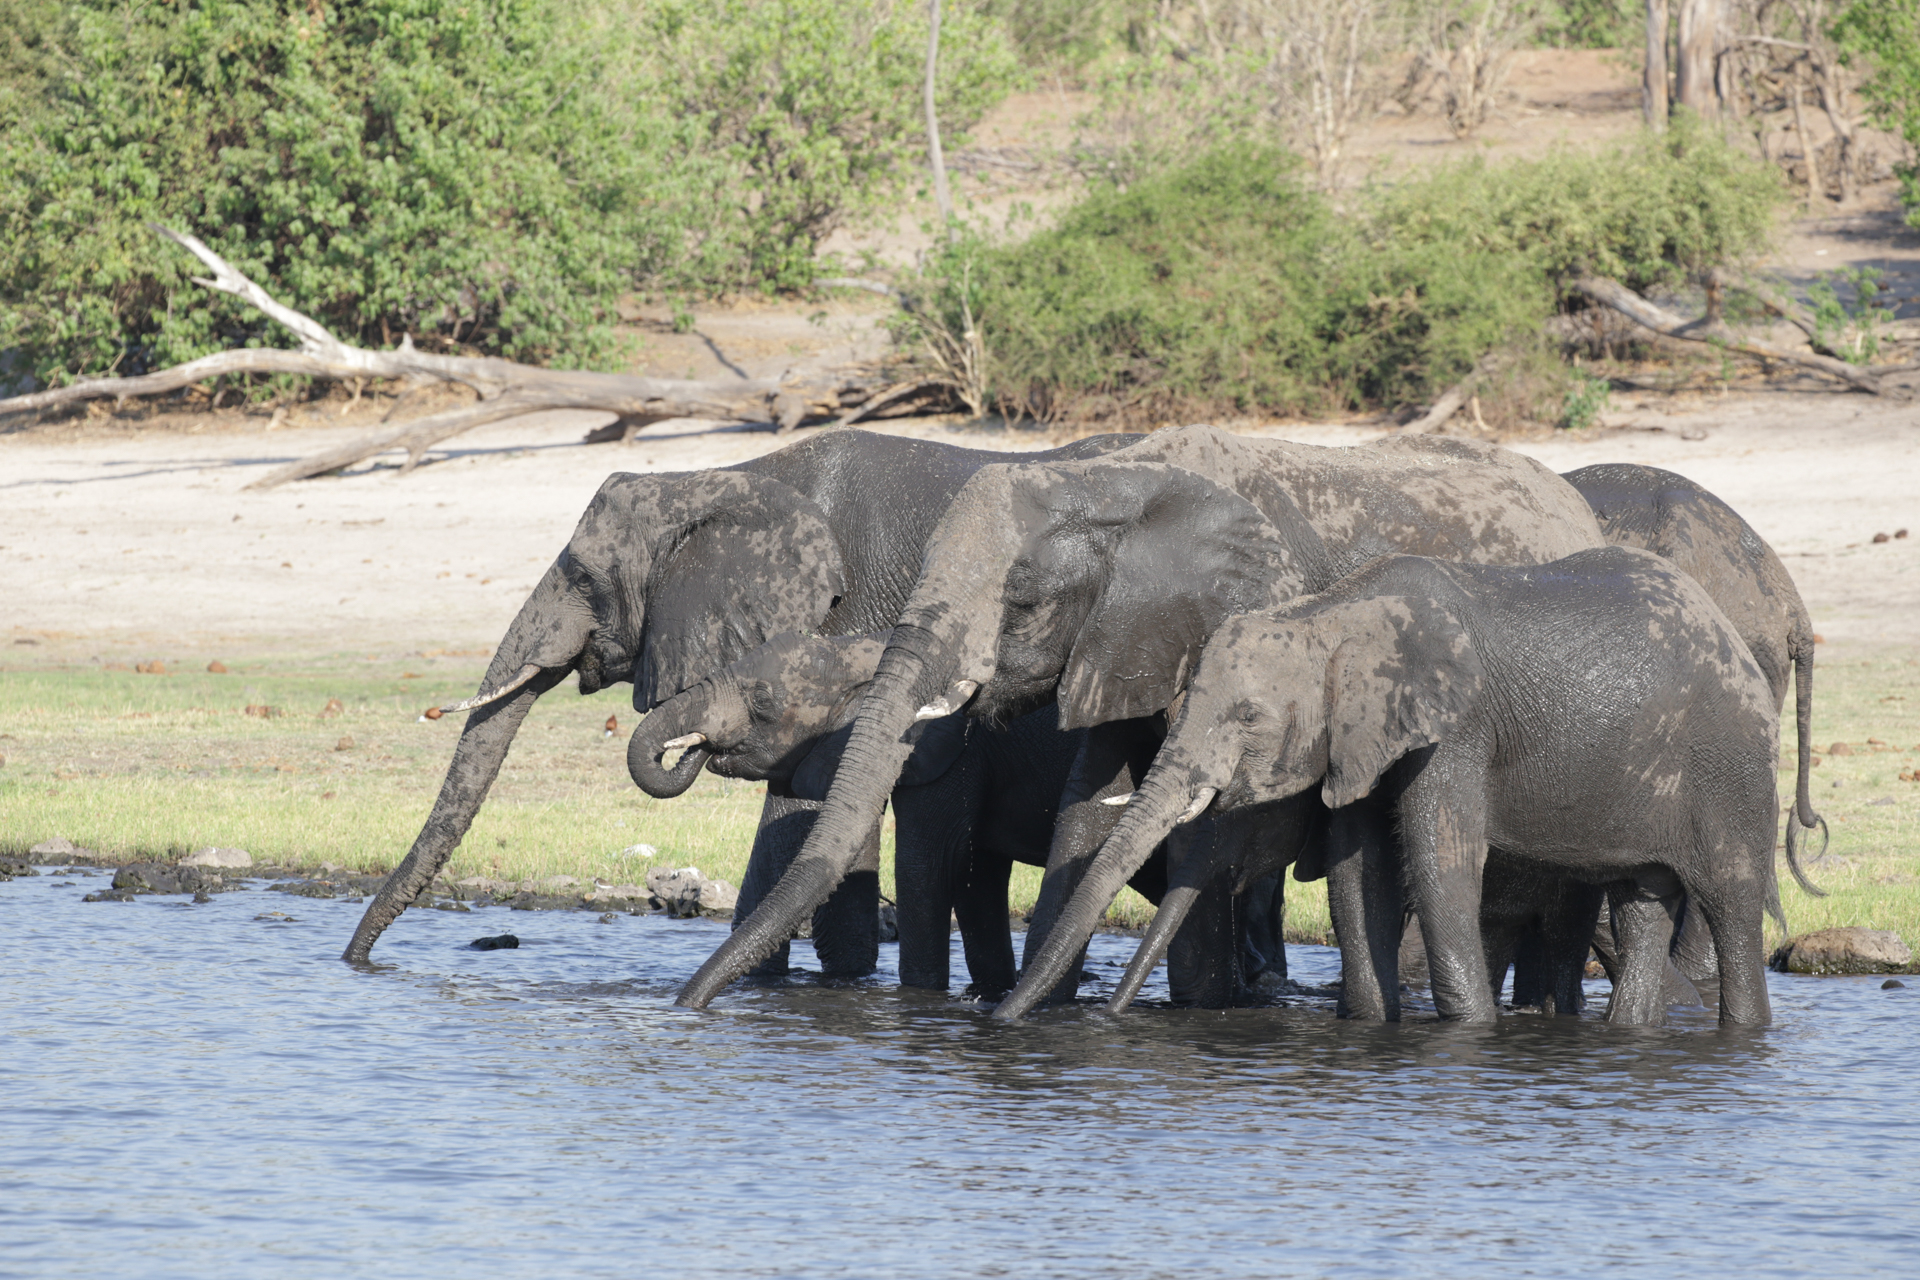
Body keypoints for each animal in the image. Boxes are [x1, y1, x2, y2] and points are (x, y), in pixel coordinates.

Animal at [629, 629, 1167, 990]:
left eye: (761, 700)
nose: (698, 748)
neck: (867, 651)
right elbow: (970, 874)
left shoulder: (950, 750)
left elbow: (927, 864)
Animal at [1006, 545, 1781, 1028]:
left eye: (1249, 716)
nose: (997, 1018)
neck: (1330, 613)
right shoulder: (1362, 739)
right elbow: (1361, 877)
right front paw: (1379, 1025)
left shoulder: (1456, 728)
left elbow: (1441, 868)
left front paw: (1469, 1029)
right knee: (1641, 905)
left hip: (1733, 767)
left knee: (1733, 909)